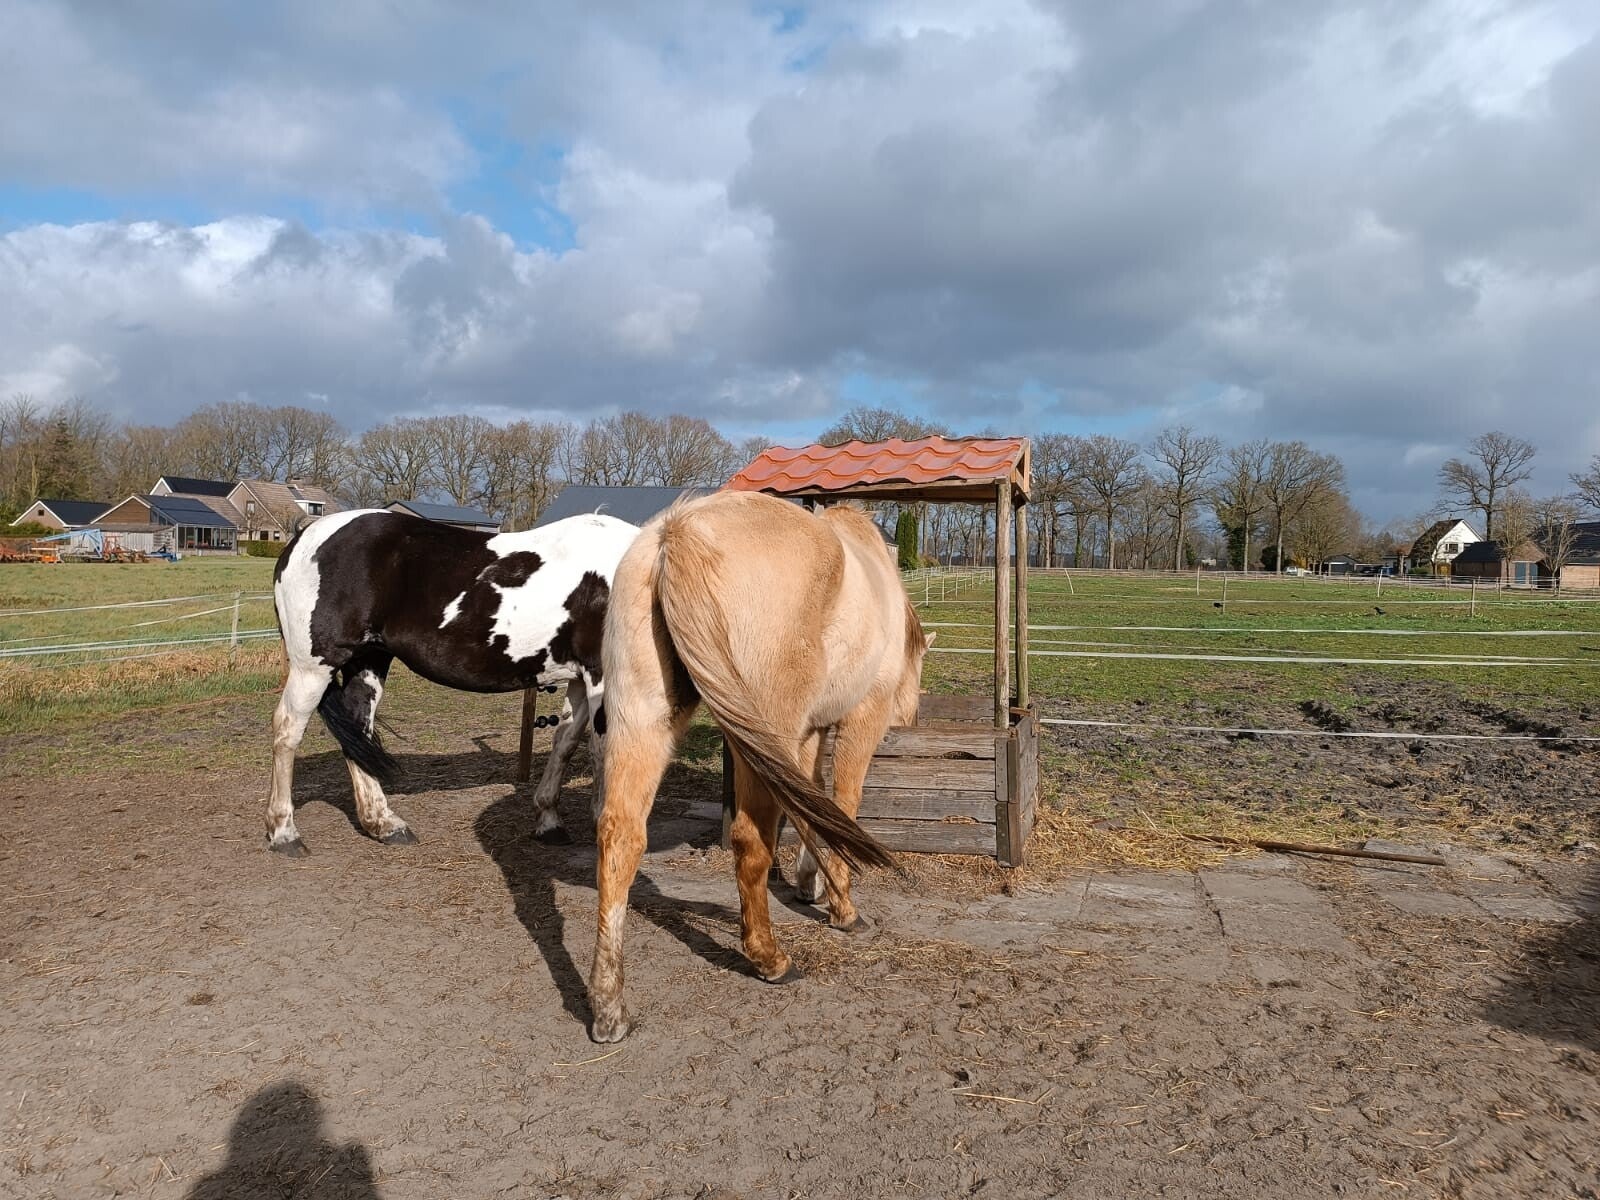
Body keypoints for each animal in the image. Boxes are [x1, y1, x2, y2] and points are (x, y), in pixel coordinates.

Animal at [266, 508, 639, 855]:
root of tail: (304, 534)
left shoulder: (582, 677)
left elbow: (565, 743)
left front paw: (549, 821)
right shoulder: (602, 676)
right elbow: (605, 750)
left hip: (368, 661)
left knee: (359, 729)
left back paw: (384, 824)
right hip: (314, 666)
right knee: (287, 731)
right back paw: (284, 833)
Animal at [587, 490, 933, 1042]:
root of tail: (682, 531)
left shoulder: (807, 736)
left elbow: (811, 811)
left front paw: (813, 886)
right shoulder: (860, 719)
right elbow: (841, 807)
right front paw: (843, 906)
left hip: (643, 718)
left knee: (621, 838)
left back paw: (608, 1005)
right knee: (751, 840)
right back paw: (770, 959)